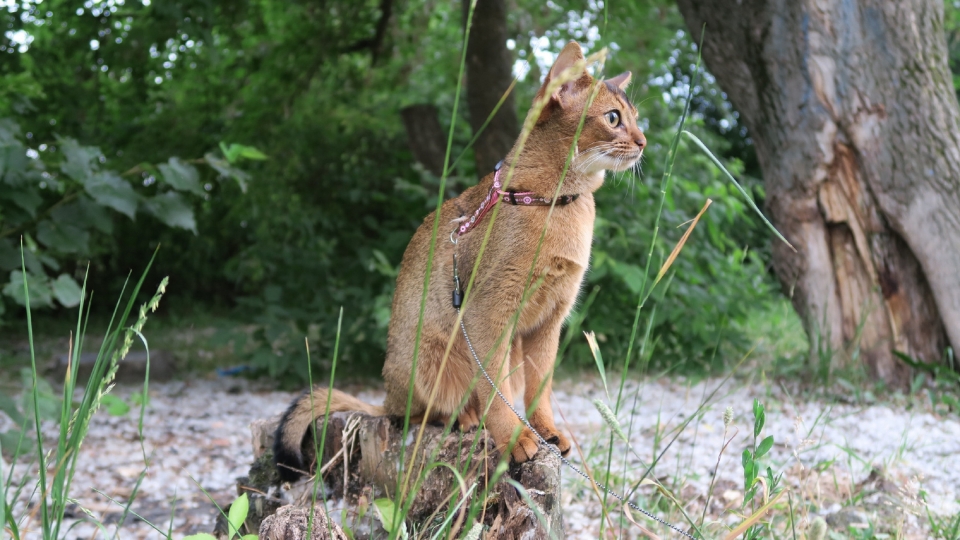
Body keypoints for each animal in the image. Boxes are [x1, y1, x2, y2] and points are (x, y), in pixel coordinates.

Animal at [272, 42, 644, 480]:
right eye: (613, 118)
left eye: (636, 118)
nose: (643, 142)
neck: (551, 201)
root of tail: (387, 394)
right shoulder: (487, 312)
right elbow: (495, 389)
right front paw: (514, 440)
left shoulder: (549, 319)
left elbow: (540, 387)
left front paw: (545, 430)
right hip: (432, 359)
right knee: (412, 415)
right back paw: (465, 418)